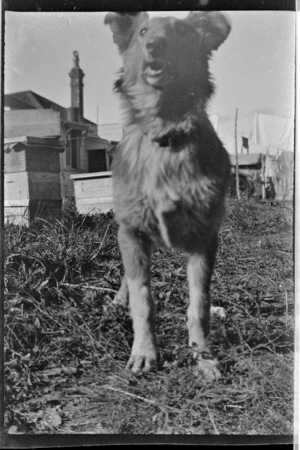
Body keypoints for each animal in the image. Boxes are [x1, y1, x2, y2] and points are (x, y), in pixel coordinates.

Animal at [104, 10, 231, 380]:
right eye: (143, 31)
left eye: (182, 33)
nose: (154, 45)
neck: (165, 135)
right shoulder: (132, 232)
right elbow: (142, 299)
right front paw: (145, 352)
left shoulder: (205, 238)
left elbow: (198, 303)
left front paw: (203, 356)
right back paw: (118, 301)